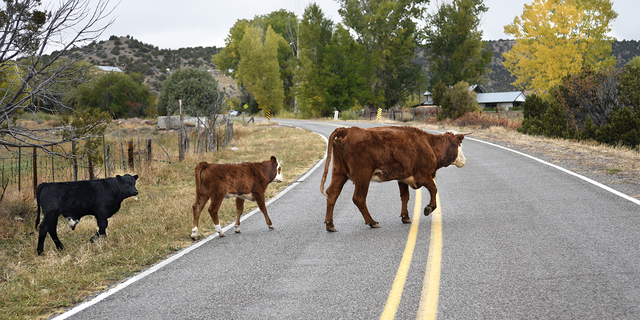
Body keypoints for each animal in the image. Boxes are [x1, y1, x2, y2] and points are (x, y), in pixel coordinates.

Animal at [320, 125, 470, 232]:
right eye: (459, 145)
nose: (464, 160)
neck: (428, 144)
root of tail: (348, 130)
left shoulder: (403, 178)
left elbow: (405, 196)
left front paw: (405, 217)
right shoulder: (424, 176)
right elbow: (434, 190)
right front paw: (429, 208)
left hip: (339, 173)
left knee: (332, 194)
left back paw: (330, 225)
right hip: (362, 177)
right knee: (359, 198)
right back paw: (372, 222)